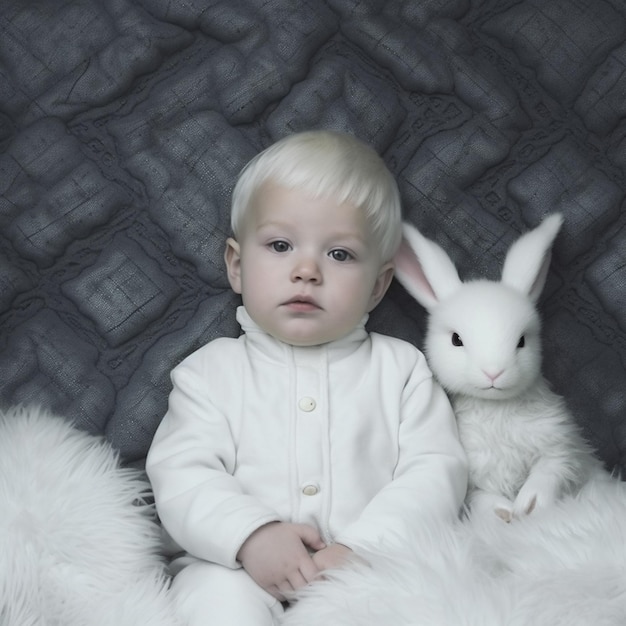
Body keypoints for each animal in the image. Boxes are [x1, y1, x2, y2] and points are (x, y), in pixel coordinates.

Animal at [392, 216, 604, 520]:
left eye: (522, 341)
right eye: (456, 340)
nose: (493, 372)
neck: (496, 409)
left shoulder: (560, 447)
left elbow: (551, 471)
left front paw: (530, 505)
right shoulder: (473, 481)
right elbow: (482, 498)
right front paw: (504, 514)